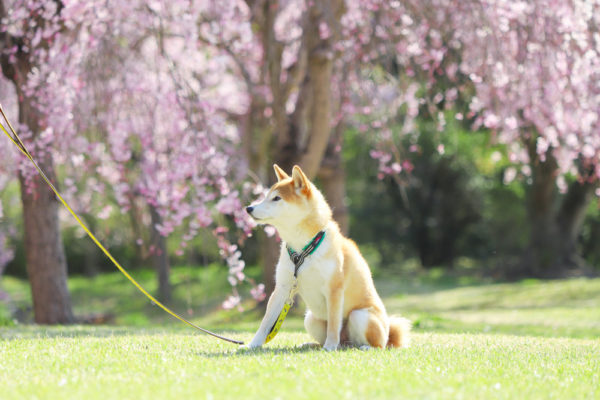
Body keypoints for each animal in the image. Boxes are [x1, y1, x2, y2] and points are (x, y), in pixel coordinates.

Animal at [246, 163, 410, 350]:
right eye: (266, 196)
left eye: (276, 198)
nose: (249, 208)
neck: (303, 248)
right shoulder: (282, 287)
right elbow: (266, 322)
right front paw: (252, 345)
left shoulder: (334, 289)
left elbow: (333, 322)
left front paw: (330, 346)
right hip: (310, 318)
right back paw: (313, 345)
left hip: (360, 316)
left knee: (378, 344)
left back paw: (359, 347)